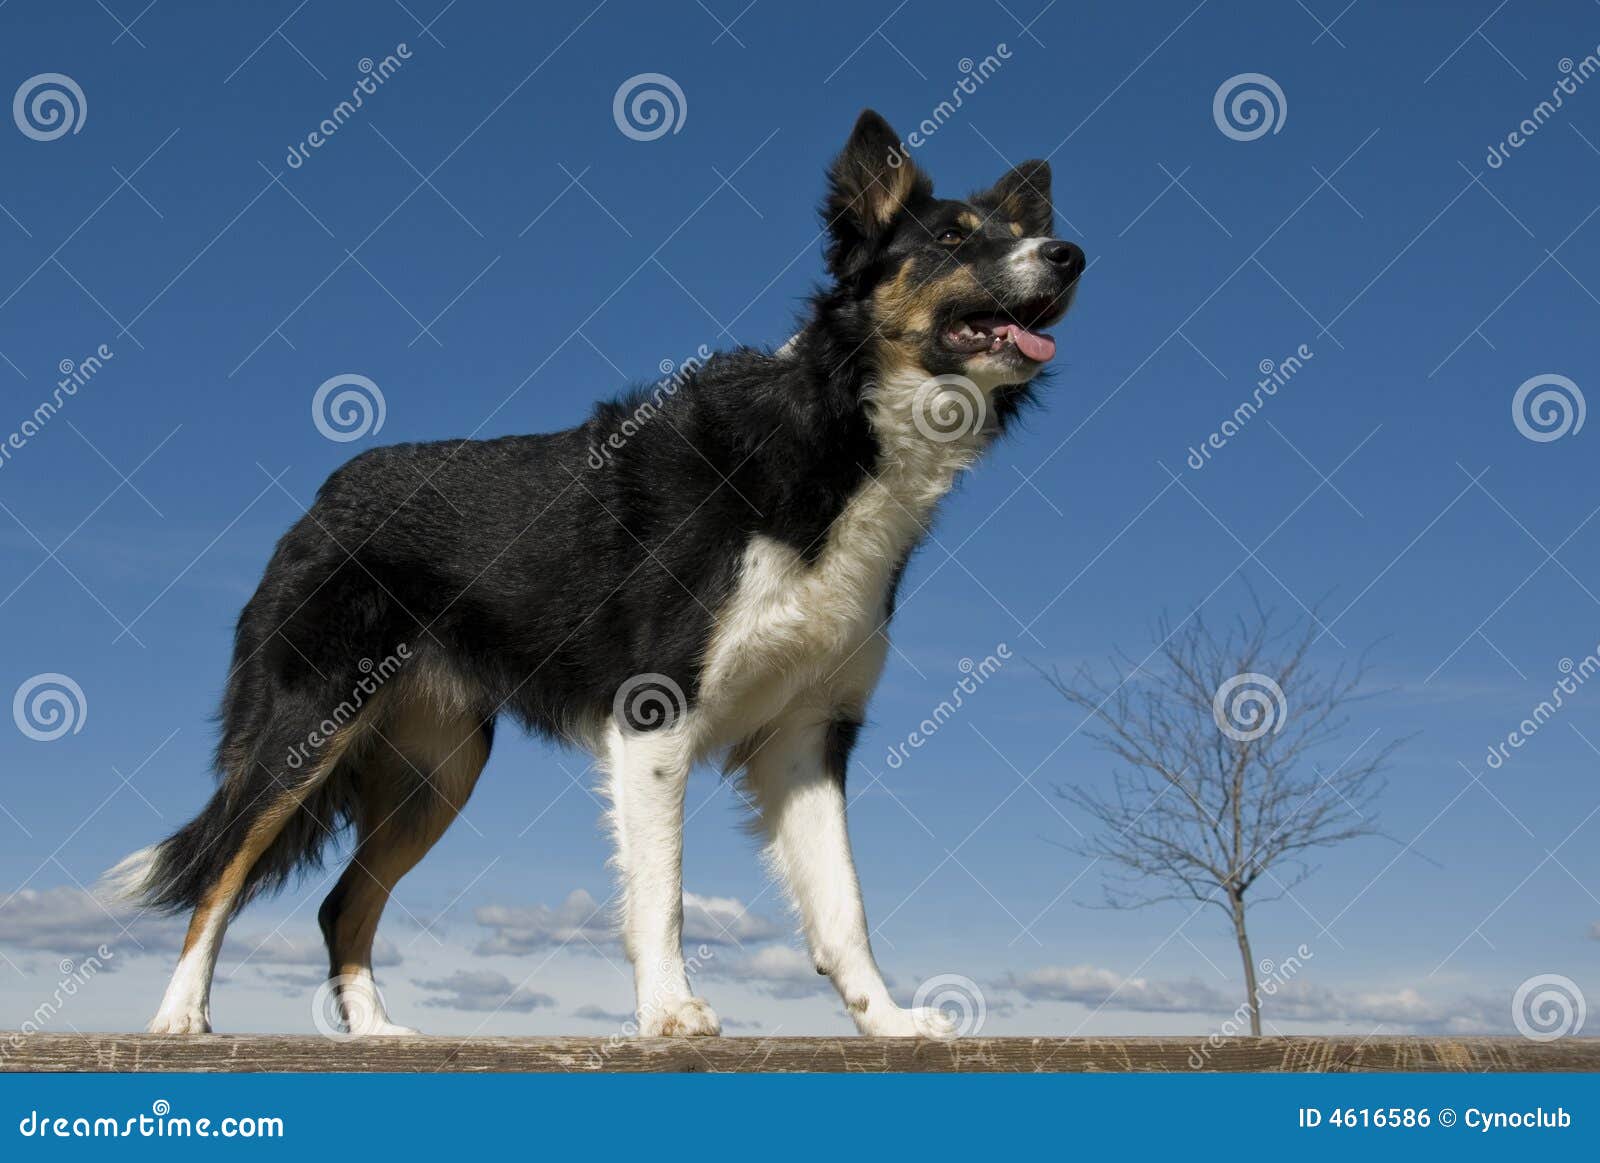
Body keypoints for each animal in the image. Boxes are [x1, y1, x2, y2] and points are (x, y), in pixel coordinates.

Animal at [109, 108, 1088, 1036]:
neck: (837, 433)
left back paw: (378, 1031)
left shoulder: (808, 733)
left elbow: (843, 905)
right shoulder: (657, 711)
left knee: (341, 901)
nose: (1071, 254)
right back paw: (179, 1015)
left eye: (1022, 230)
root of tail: (325, 495)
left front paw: (886, 1020)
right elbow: (663, 893)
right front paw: (670, 1013)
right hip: (307, 728)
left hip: (439, 769)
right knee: (221, 871)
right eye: (955, 238)